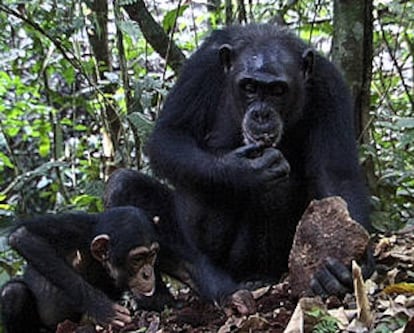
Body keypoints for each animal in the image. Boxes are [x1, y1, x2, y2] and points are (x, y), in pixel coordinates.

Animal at [1, 206, 167, 330]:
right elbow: (22, 236)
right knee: (12, 292)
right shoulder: (73, 227)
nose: (147, 274)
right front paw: (104, 308)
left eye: (151, 255)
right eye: (137, 259)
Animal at [107, 24, 372, 308]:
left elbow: (336, 174)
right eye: (249, 87)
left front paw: (348, 265)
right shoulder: (200, 68)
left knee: (277, 191)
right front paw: (243, 171)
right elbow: (169, 136)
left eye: (278, 91)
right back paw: (179, 286)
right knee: (123, 188)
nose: (261, 114)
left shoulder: (330, 87)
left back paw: (258, 278)